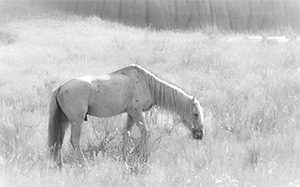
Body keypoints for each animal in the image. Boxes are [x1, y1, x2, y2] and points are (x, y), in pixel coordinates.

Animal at [48, 63, 205, 167]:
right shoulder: (136, 112)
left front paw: (125, 157)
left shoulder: (130, 114)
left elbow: (126, 134)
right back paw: (84, 163)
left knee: (59, 142)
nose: (200, 134)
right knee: (74, 141)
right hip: (77, 121)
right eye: (196, 114)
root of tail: (60, 87)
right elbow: (145, 132)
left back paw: (59, 165)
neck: (147, 84)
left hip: (65, 120)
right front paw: (143, 157)